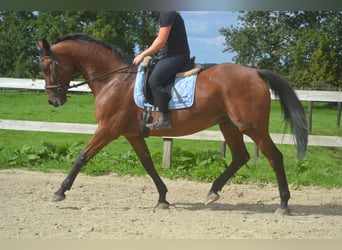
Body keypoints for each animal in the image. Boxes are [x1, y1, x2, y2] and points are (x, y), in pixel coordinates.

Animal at [36, 32, 308, 213]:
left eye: (47, 67)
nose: (53, 100)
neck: (113, 80)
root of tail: (255, 72)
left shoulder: (107, 129)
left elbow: (82, 157)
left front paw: (59, 192)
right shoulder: (132, 134)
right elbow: (148, 164)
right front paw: (163, 198)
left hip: (251, 126)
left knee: (274, 157)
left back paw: (283, 204)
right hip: (228, 125)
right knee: (240, 156)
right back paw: (212, 192)